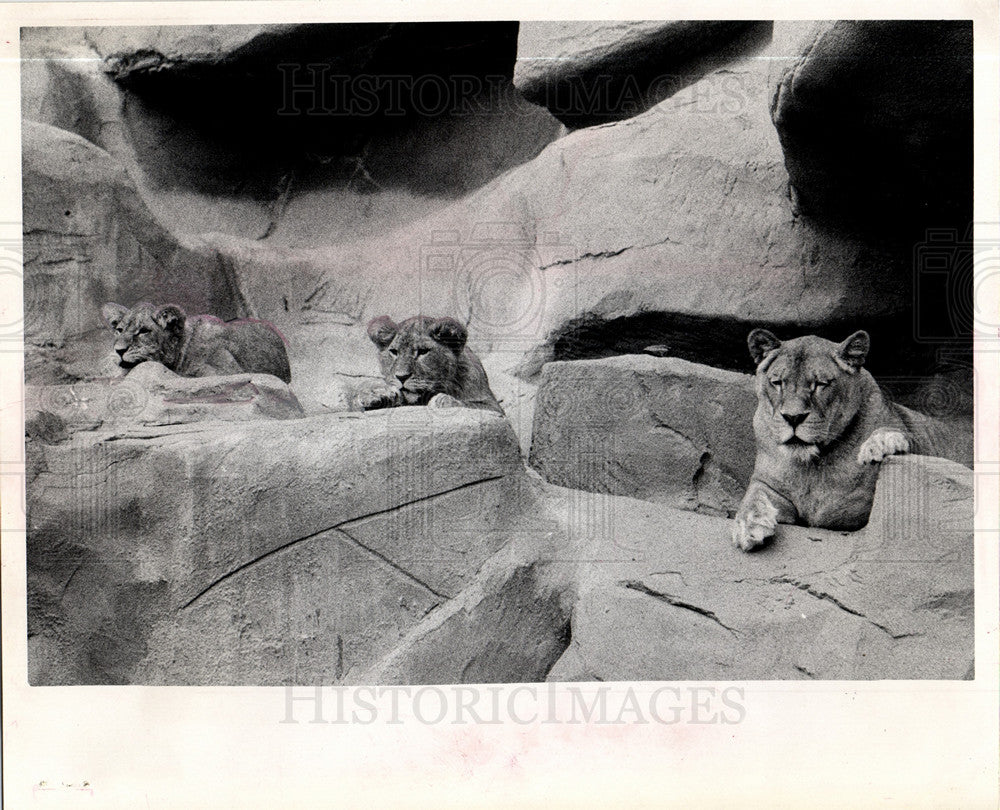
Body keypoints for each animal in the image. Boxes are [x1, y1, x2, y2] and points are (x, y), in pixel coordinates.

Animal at [356, 314, 504, 414]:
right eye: (394, 352)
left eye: (423, 352)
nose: (401, 377)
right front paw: (377, 396)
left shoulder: (494, 407)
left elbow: (469, 404)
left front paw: (443, 400)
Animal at [736, 326, 968, 548]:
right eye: (777, 382)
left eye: (820, 384)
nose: (793, 417)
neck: (813, 463)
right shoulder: (766, 483)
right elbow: (751, 499)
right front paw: (750, 526)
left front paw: (878, 443)